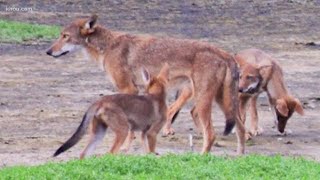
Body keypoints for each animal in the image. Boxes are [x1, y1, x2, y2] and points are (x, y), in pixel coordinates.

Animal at [45, 14, 245, 154]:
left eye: (65, 36)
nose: (48, 51)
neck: (108, 46)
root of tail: (226, 54)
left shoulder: (128, 88)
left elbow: (130, 130)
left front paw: (125, 148)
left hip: (204, 101)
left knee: (210, 134)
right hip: (221, 102)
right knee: (241, 129)